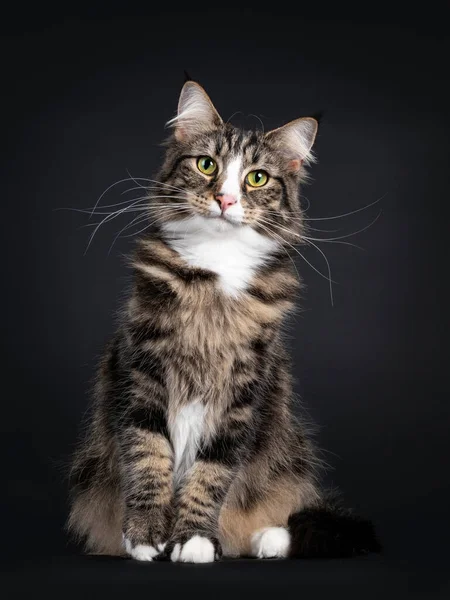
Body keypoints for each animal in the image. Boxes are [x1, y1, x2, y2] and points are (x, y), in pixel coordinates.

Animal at [67, 79, 380, 564]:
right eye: (206, 164)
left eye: (257, 177)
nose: (225, 199)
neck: (214, 273)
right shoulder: (141, 374)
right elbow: (148, 457)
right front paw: (146, 536)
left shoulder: (244, 392)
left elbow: (213, 471)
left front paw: (193, 539)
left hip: (287, 456)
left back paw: (270, 539)